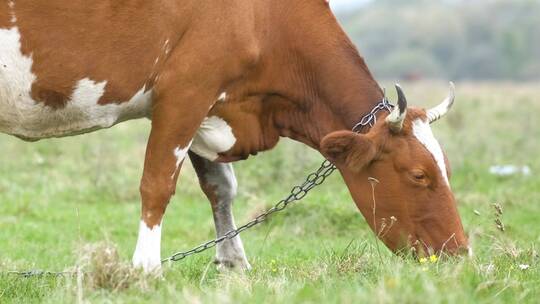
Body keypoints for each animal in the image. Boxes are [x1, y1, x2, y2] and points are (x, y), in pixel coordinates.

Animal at [0, 1, 468, 272]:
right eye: (419, 175)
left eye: (446, 167)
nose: (460, 252)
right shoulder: (185, 93)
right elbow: (157, 185)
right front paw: (145, 269)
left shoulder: (212, 106)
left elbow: (219, 188)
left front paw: (232, 262)